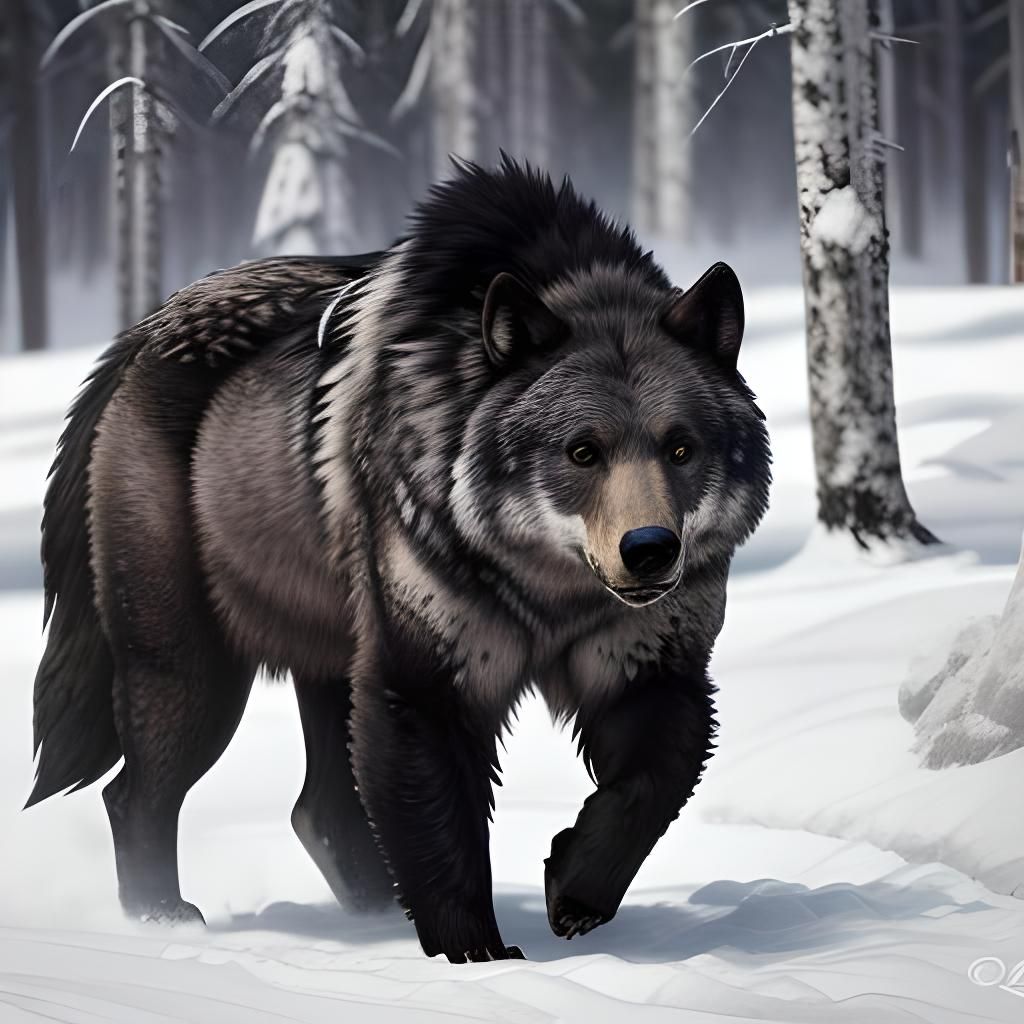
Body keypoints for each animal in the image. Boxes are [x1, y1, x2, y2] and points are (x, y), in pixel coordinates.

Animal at [27, 158, 770, 963]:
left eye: (680, 447)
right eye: (582, 452)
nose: (651, 550)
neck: (551, 592)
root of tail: (143, 334)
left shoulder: (652, 670)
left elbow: (645, 792)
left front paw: (572, 888)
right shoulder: (423, 683)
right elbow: (445, 836)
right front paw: (476, 959)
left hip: (328, 661)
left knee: (319, 808)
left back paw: (376, 918)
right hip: (195, 669)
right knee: (136, 793)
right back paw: (161, 920)